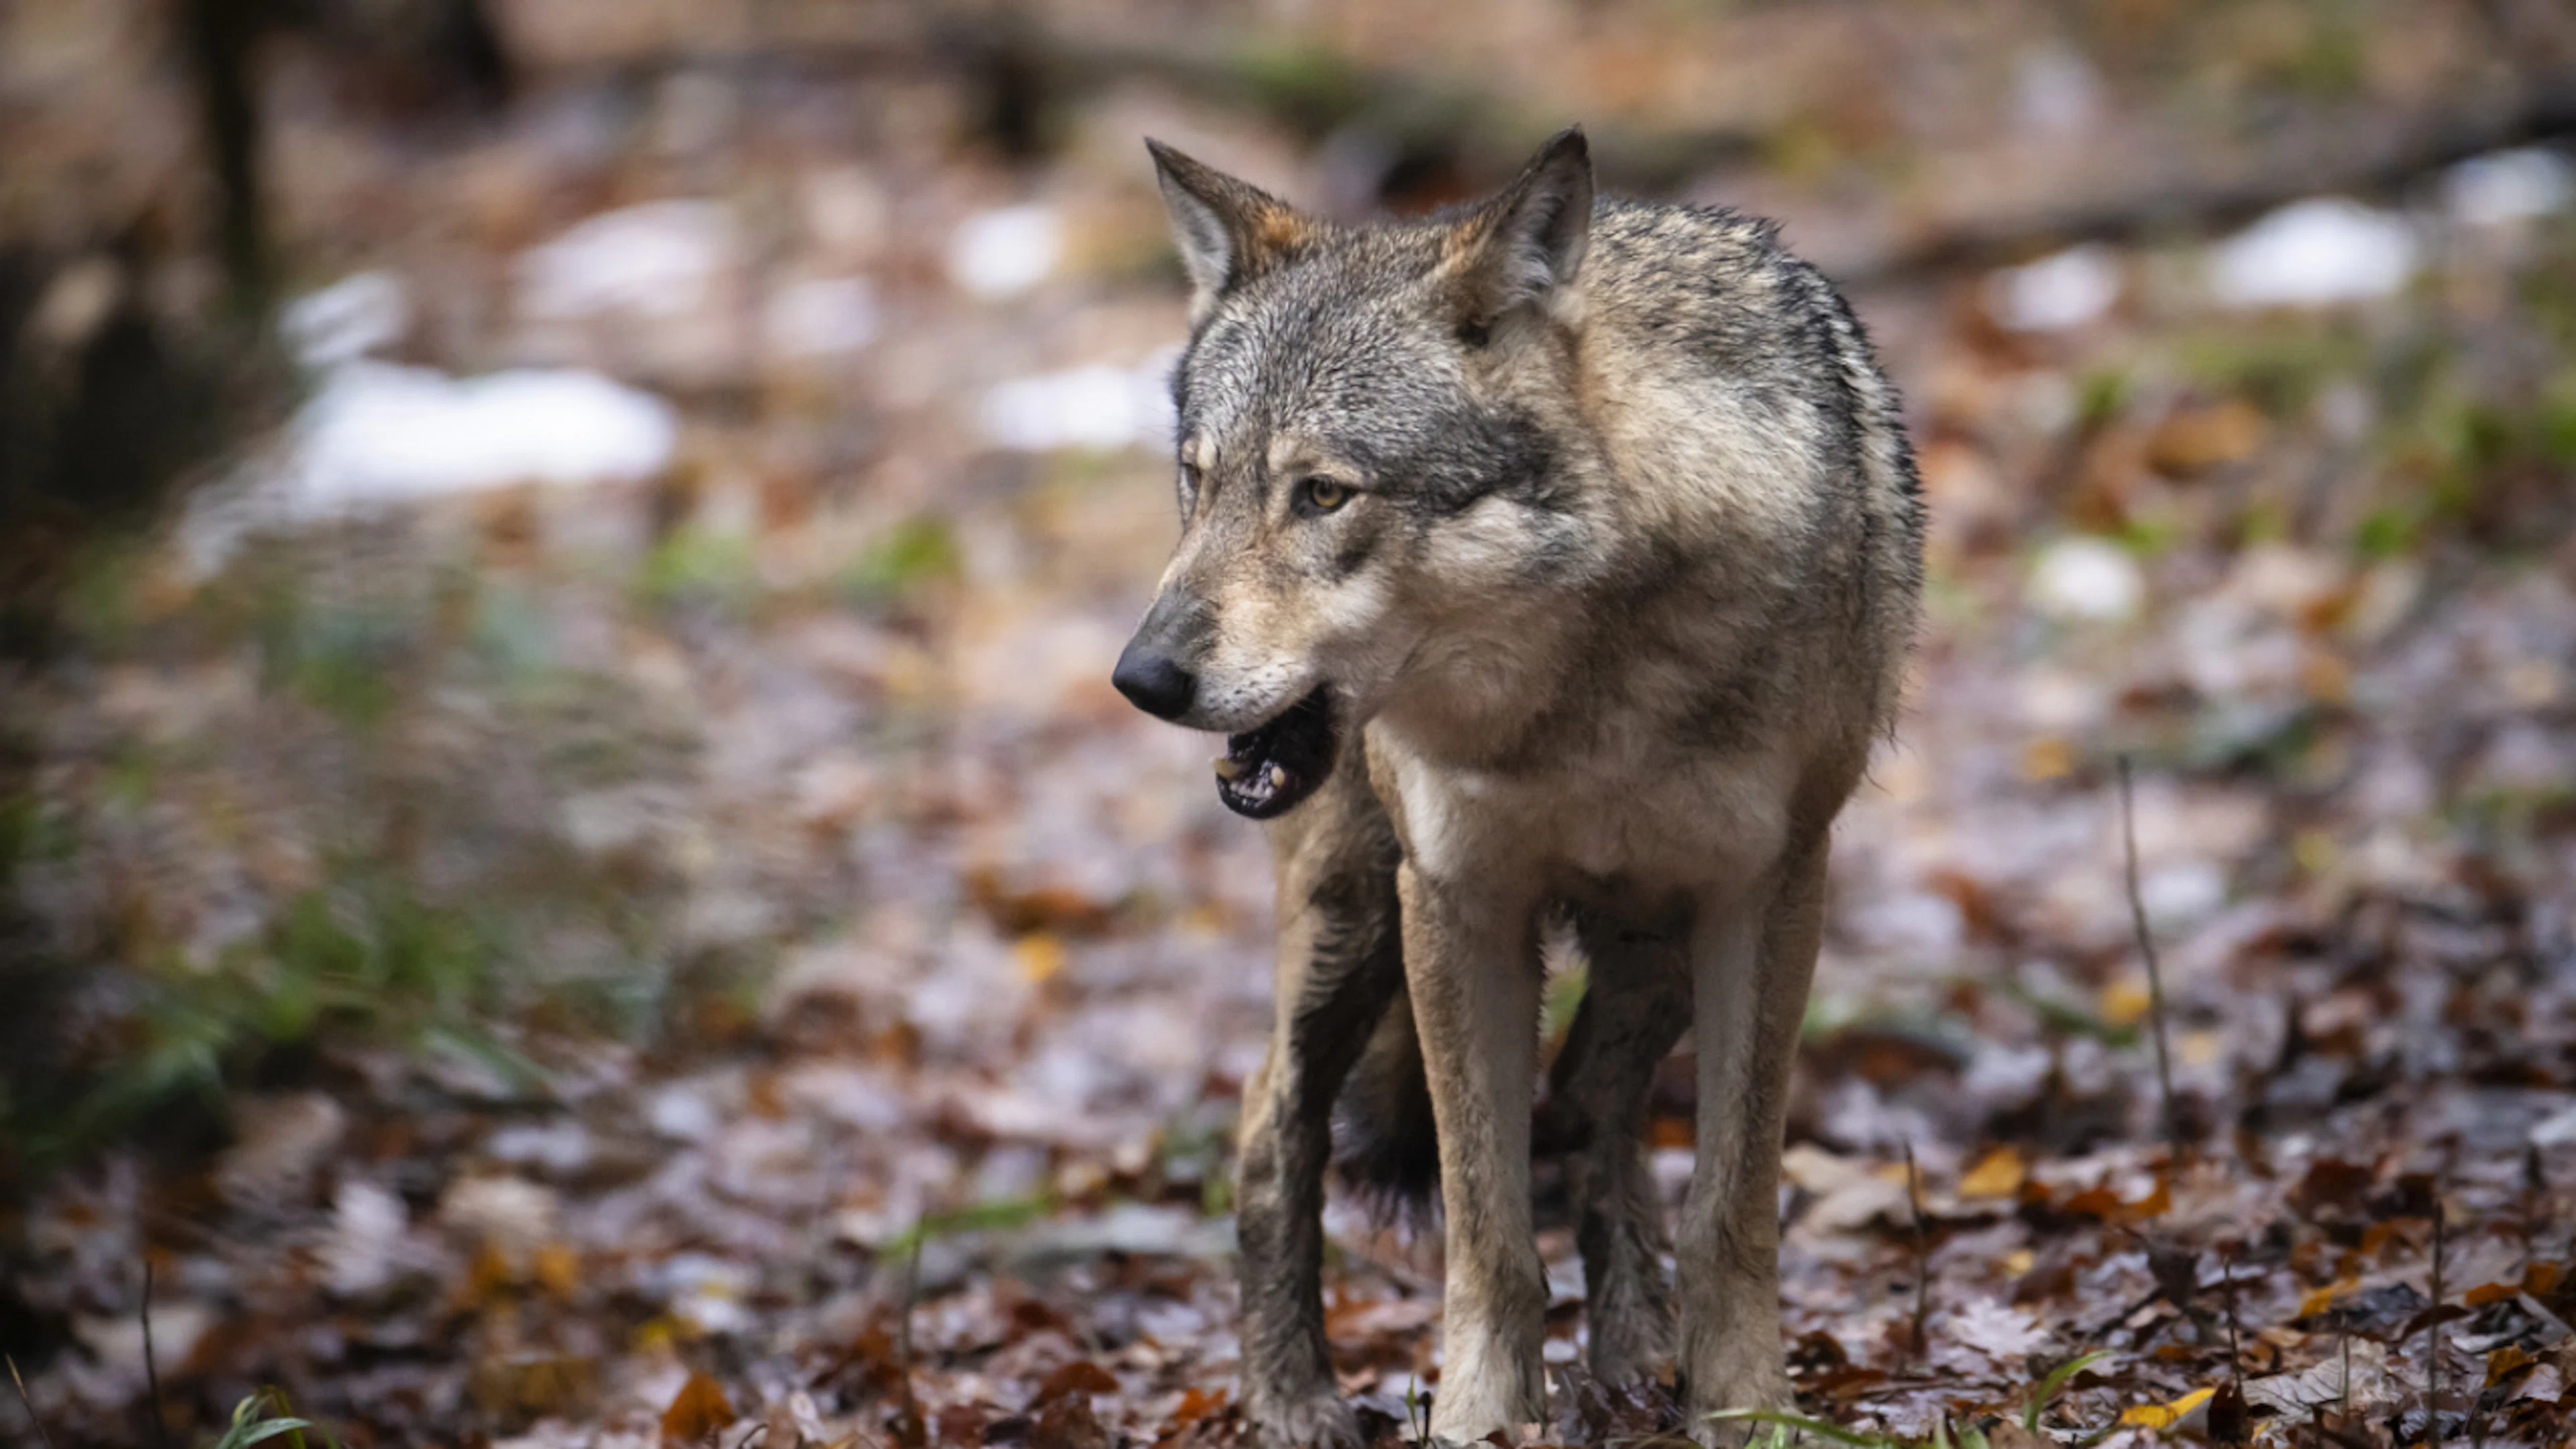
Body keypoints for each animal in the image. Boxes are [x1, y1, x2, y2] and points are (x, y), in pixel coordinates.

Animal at [1112, 127, 1923, 1446]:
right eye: (1198, 480)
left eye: (1323, 493)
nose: (1141, 678)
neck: (1581, 700)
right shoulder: (1457, 903)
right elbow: (1486, 1230)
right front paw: (1481, 1420)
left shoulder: (1768, 894)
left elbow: (1732, 1206)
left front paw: (1744, 1407)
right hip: (1353, 921)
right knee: (1269, 1124)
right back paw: (1292, 1402)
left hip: (1650, 951)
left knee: (1590, 1103)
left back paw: (1636, 1350)